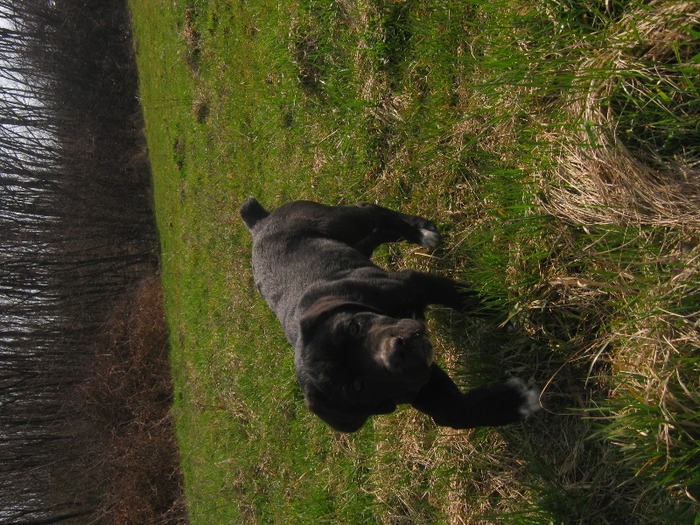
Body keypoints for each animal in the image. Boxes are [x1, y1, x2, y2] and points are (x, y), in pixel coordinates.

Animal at [242, 199, 540, 432]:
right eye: (357, 387)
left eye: (354, 327)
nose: (399, 350)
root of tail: (259, 224)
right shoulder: (415, 383)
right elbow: (457, 413)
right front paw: (519, 401)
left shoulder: (415, 284)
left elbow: (467, 301)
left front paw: (506, 317)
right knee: (373, 236)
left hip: (340, 221)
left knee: (371, 211)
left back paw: (421, 232)